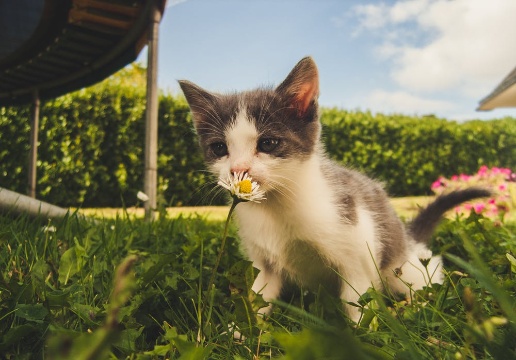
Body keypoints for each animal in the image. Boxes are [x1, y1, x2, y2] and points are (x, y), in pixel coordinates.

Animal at [179, 57, 490, 322]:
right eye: (219, 148)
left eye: (267, 143)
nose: (238, 169)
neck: (277, 206)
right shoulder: (264, 262)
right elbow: (258, 296)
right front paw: (237, 333)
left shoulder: (358, 247)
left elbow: (356, 300)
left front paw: (363, 336)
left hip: (400, 265)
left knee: (425, 272)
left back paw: (417, 304)